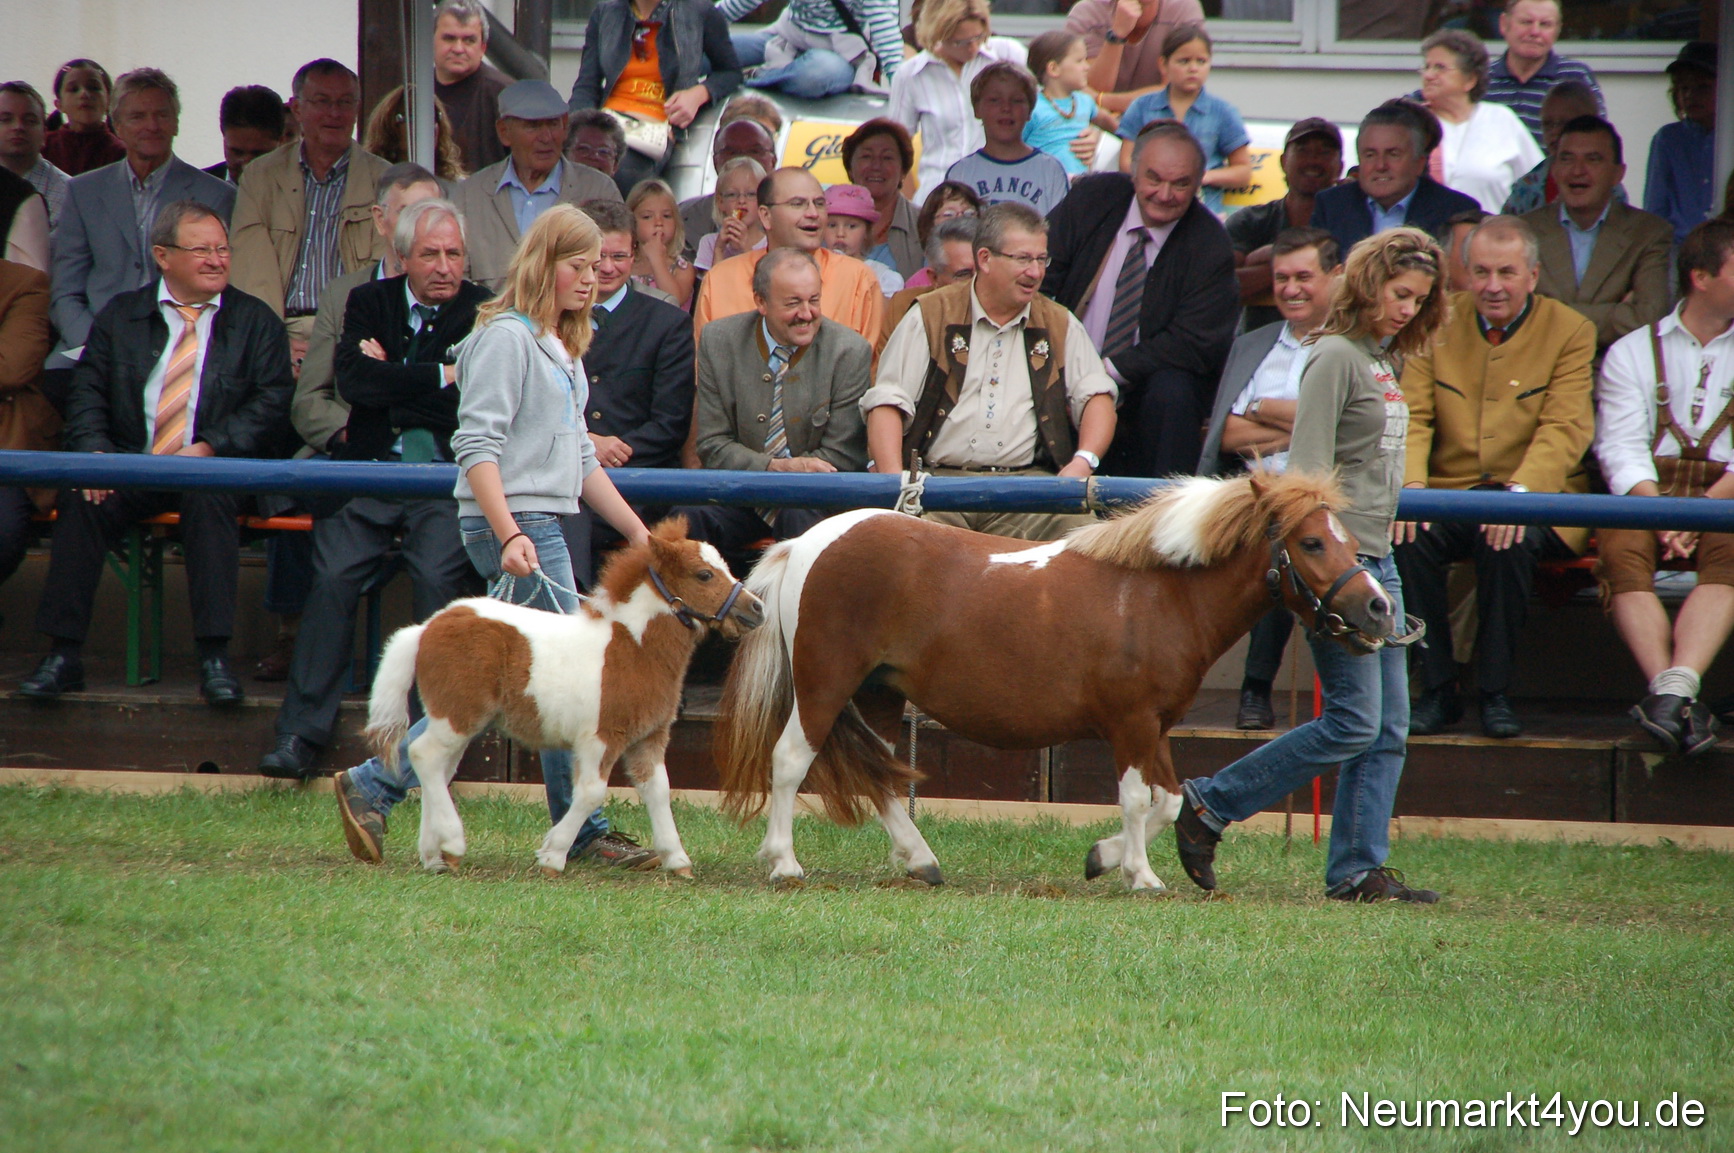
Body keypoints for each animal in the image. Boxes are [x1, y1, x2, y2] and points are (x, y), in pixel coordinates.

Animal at [364, 518, 765, 877]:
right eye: (704, 575)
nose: (756, 608)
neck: (633, 647)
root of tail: (426, 628)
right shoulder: (601, 738)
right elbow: (590, 792)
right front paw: (553, 855)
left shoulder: (648, 738)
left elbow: (659, 791)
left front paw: (677, 860)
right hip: (458, 715)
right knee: (425, 755)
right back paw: (451, 842)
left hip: (455, 719)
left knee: (434, 767)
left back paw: (434, 856)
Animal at [714, 470, 1401, 892]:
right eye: (1312, 543)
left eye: (1344, 537)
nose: (1379, 609)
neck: (1156, 595)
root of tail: (808, 541)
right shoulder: (1130, 724)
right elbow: (1136, 799)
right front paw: (1142, 876)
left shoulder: (1155, 725)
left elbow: (1169, 799)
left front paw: (1104, 858)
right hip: (825, 683)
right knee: (790, 760)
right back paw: (784, 863)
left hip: (880, 692)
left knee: (881, 774)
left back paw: (921, 861)